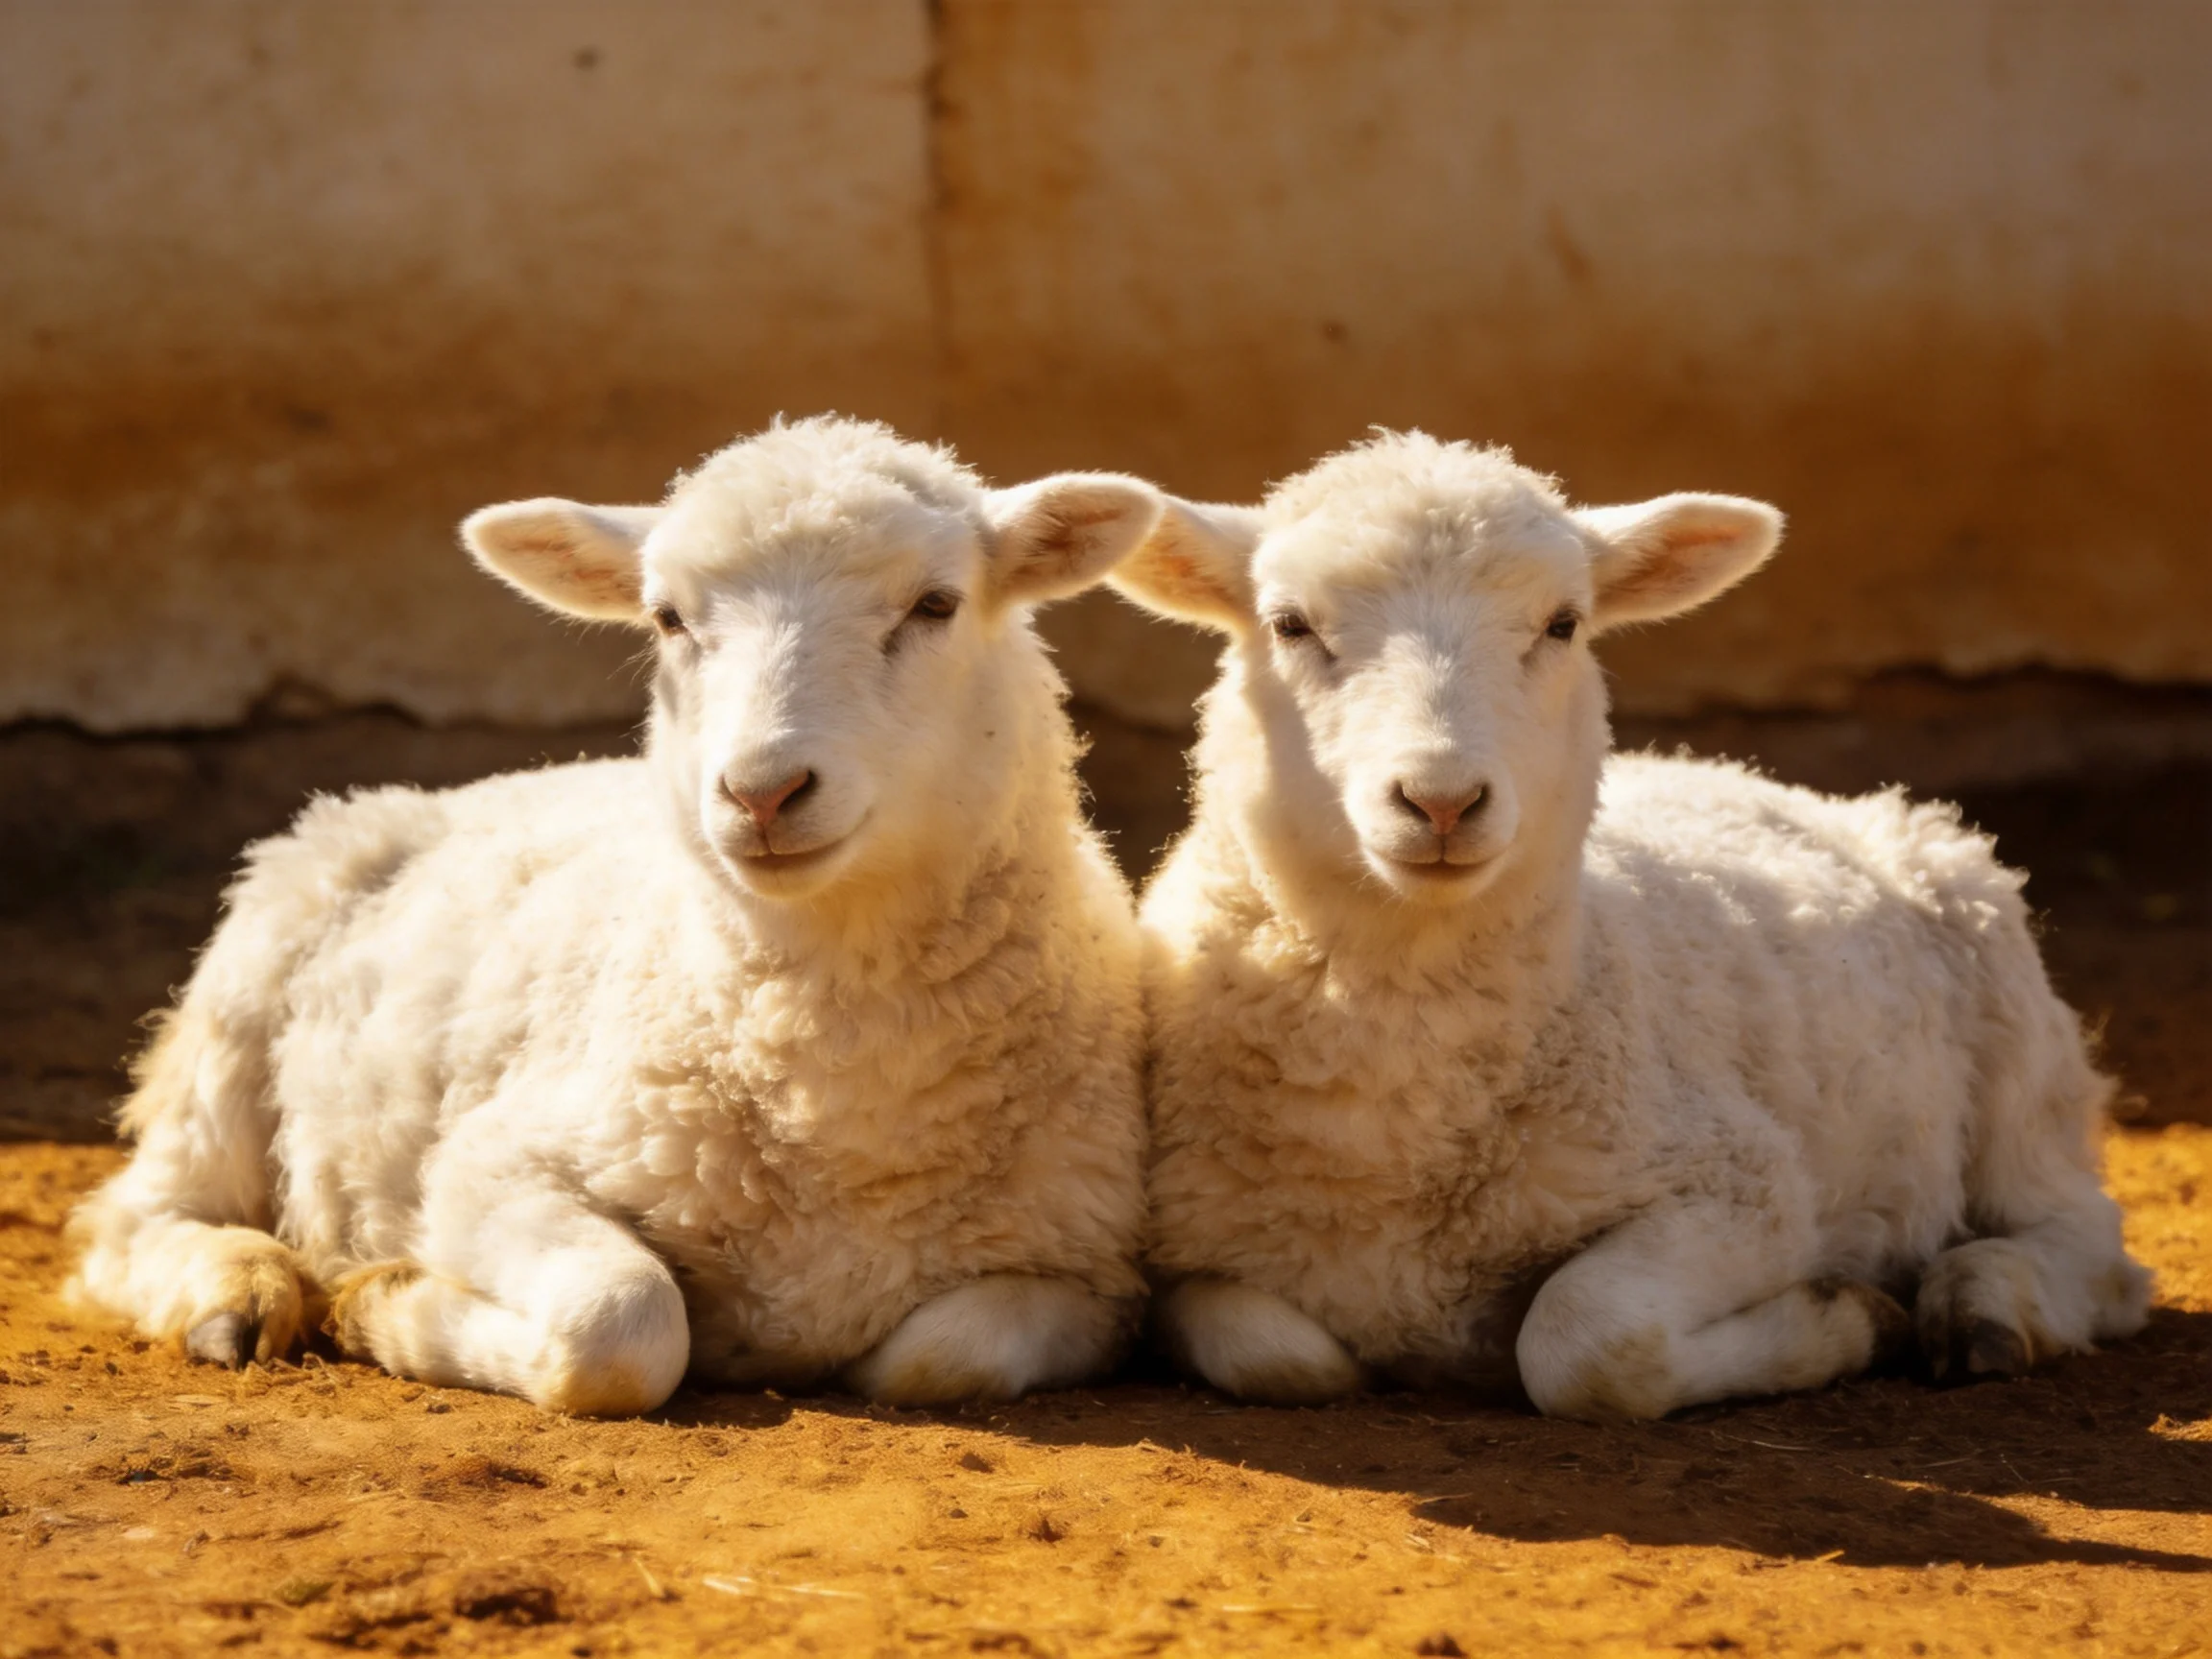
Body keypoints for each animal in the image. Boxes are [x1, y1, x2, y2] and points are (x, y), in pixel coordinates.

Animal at [68, 416, 1163, 1417]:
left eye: (935, 604)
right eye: (668, 617)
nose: (762, 792)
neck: (835, 1101)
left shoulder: (1086, 1270)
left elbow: (938, 1361)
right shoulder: (492, 1167)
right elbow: (623, 1329)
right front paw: (389, 1303)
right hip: (236, 1016)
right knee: (133, 1220)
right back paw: (235, 1288)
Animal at [1107, 430, 2151, 1421]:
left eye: (1563, 625)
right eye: (1289, 623)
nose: (1442, 801)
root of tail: (1733, 771)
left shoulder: (1746, 1187)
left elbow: (1585, 1341)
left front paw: (1843, 1322)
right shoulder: (1191, 1253)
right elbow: (1275, 1353)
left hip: (2013, 1040)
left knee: (2090, 1246)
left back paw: (1984, 1305)